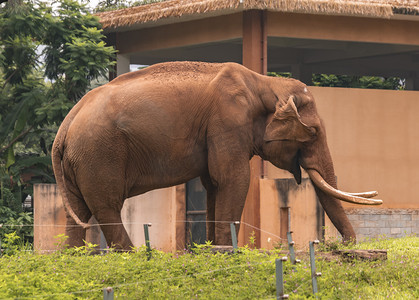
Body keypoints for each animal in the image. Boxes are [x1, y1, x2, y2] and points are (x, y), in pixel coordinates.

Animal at [50, 60, 382, 248]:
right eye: (312, 132)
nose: (342, 247)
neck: (265, 82)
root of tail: (66, 123)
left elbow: (213, 183)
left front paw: (211, 248)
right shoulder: (228, 120)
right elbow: (234, 178)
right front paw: (227, 251)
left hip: (79, 160)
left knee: (78, 210)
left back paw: (73, 257)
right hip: (100, 154)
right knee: (107, 206)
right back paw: (133, 255)